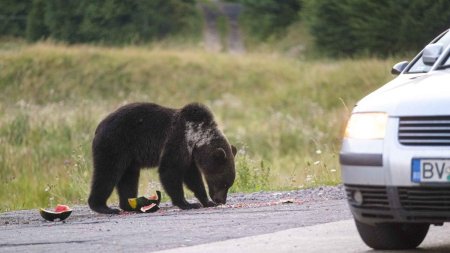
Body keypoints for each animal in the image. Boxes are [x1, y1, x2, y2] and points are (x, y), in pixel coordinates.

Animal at [87, 102, 236, 213]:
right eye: (223, 183)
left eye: (228, 184)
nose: (221, 200)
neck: (196, 138)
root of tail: (98, 127)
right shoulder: (178, 140)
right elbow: (170, 170)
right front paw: (187, 203)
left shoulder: (190, 155)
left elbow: (193, 178)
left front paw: (206, 202)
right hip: (115, 143)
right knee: (107, 173)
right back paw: (103, 207)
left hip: (129, 158)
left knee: (128, 178)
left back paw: (129, 205)